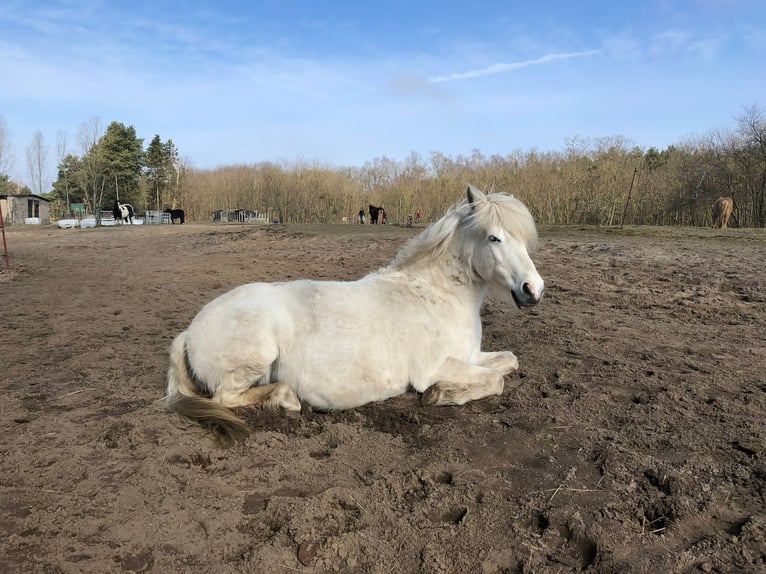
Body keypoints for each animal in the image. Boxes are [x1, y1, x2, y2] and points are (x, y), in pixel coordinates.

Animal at [162, 186, 544, 446]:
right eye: (494, 238)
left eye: (523, 240)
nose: (534, 289)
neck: (434, 296)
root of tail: (188, 333)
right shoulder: (434, 367)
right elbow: (495, 381)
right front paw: (441, 395)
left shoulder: (471, 355)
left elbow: (509, 362)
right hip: (254, 359)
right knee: (225, 398)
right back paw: (288, 400)